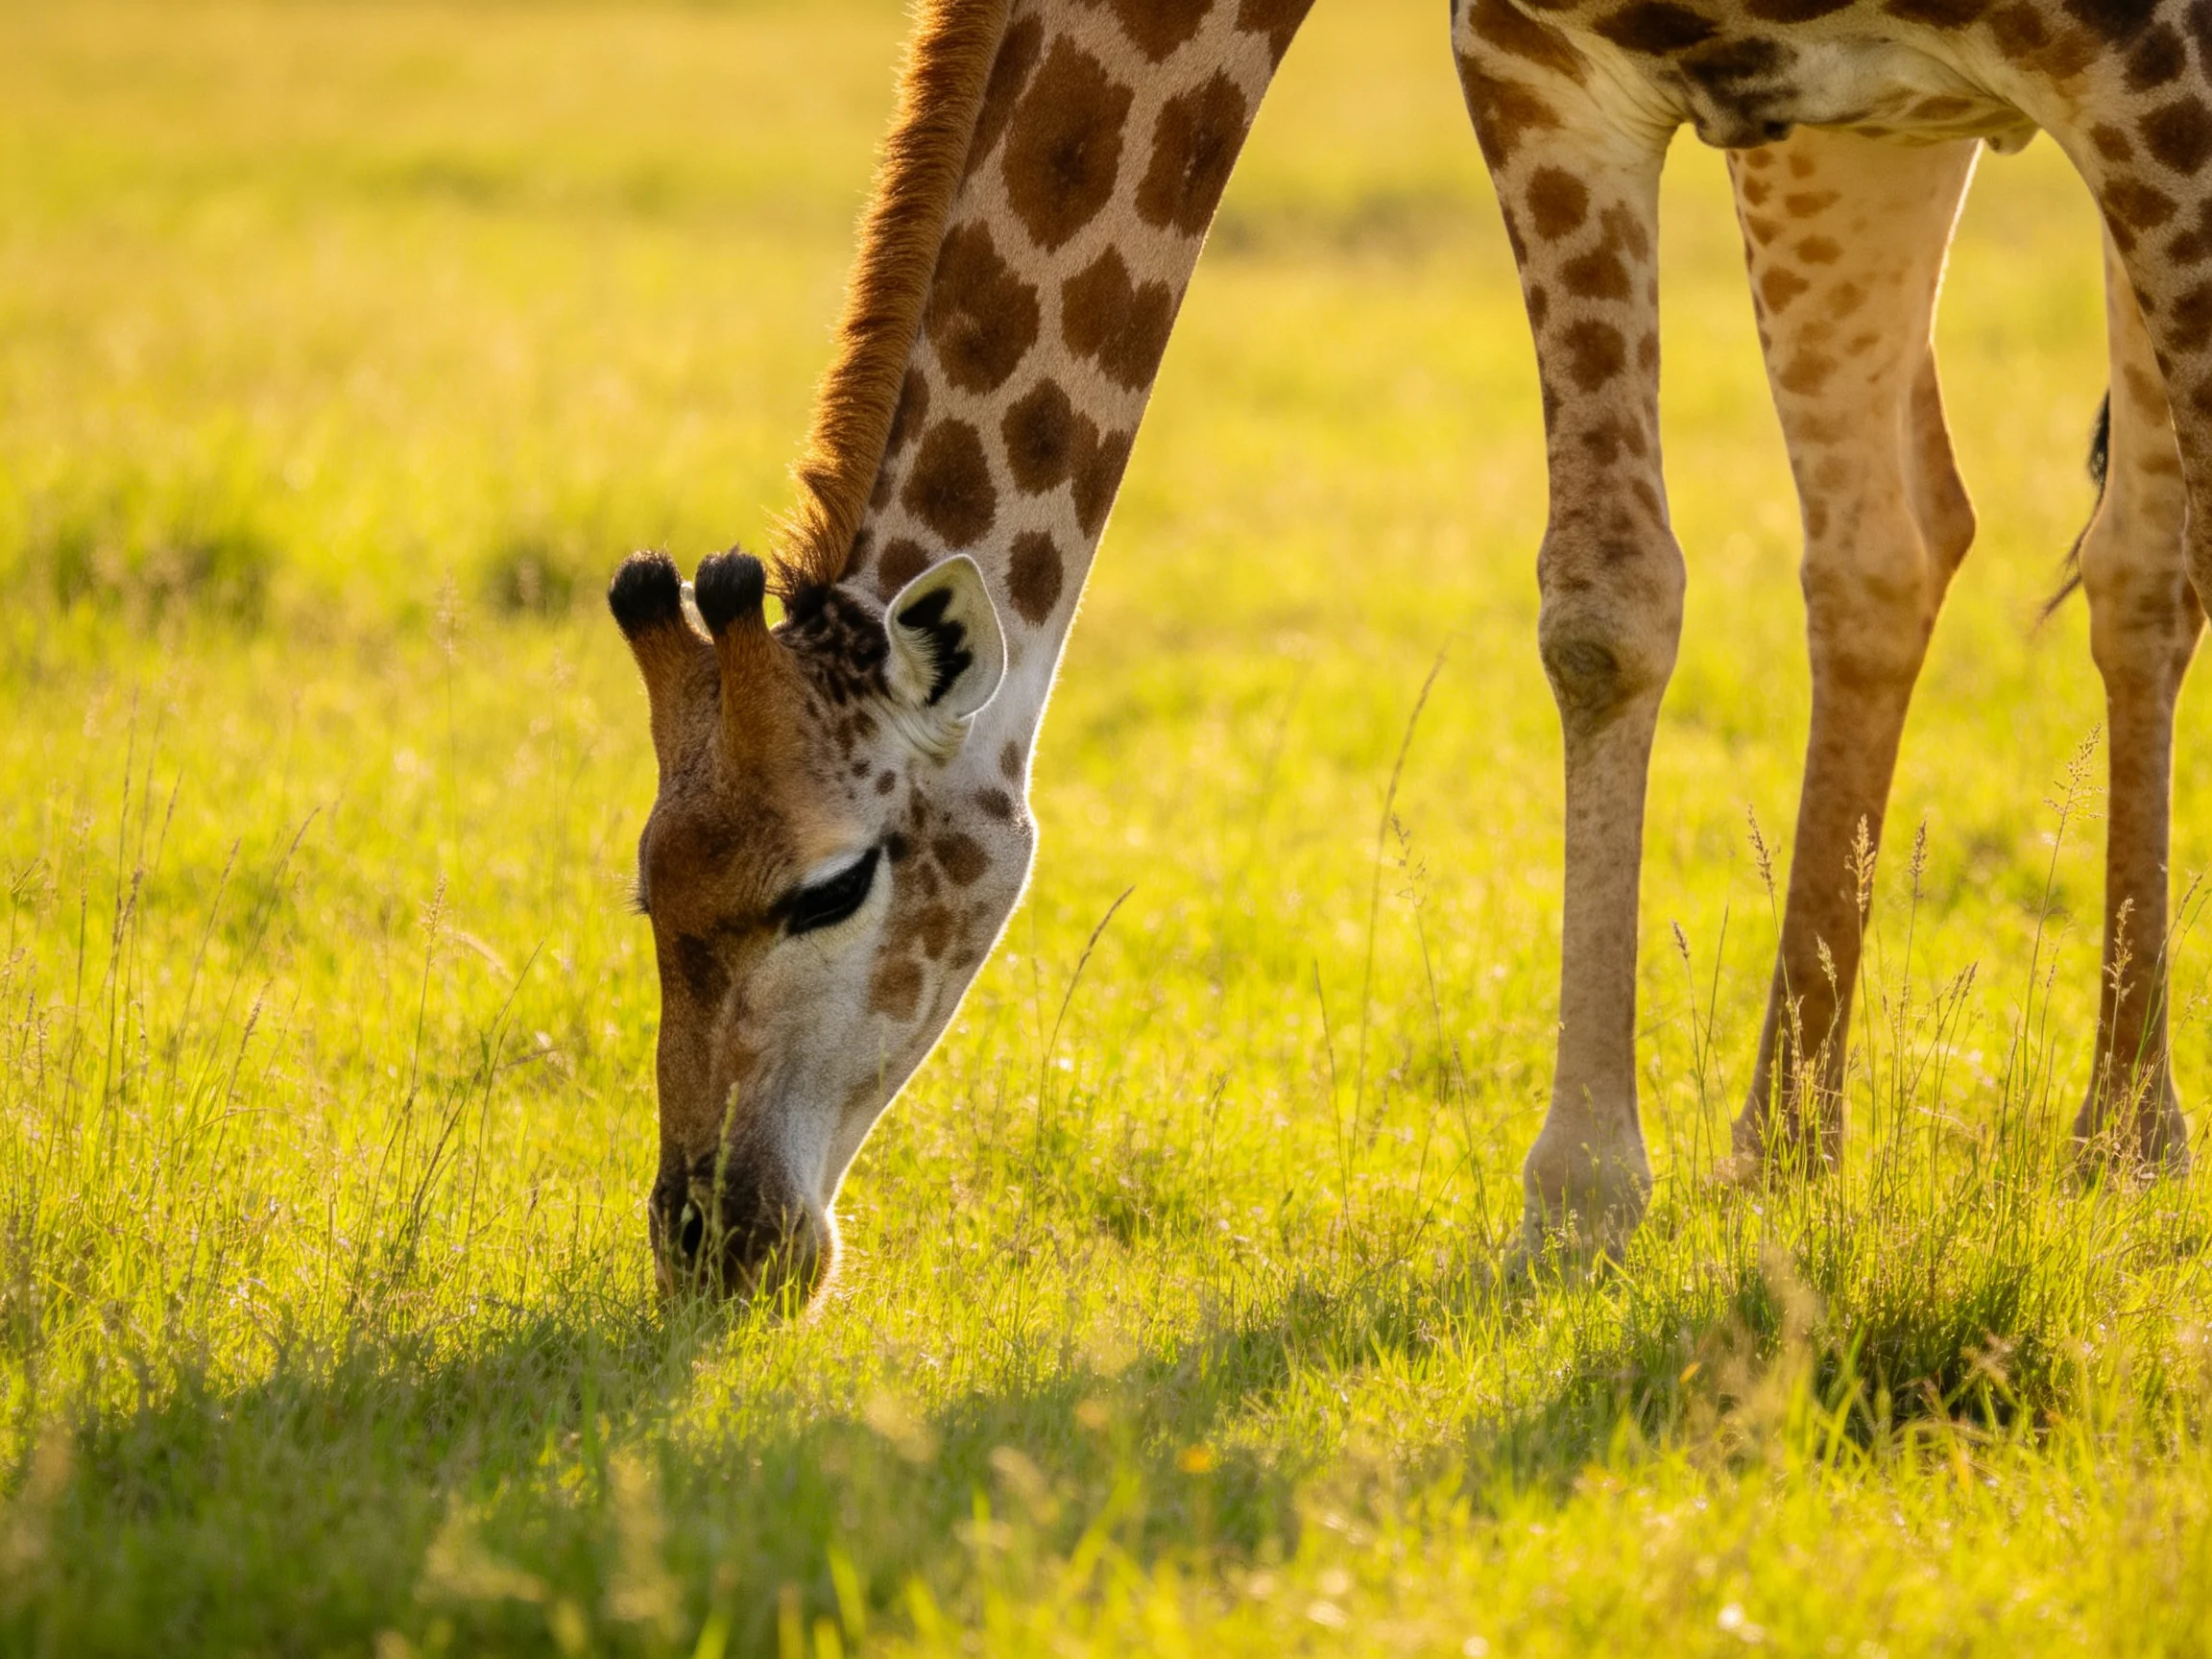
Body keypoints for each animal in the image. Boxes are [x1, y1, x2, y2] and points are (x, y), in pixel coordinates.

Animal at [609, 0, 2202, 1299]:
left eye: (832, 886)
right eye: (646, 888)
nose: (712, 1245)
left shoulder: (2147, 67)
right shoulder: (1542, 61)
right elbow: (1604, 606)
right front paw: (1584, 1204)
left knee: (2127, 553)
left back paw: (2115, 1137)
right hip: (1853, 137)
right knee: (1891, 538)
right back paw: (1788, 1149)